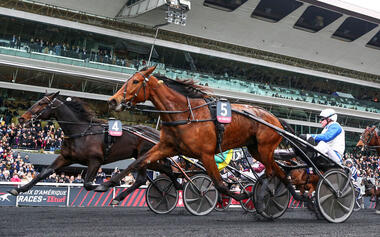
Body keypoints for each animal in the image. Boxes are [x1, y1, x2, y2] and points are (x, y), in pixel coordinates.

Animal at [10, 91, 180, 201]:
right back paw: (172, 188)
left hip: (144, 156)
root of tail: (156, 133)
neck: (81, 132)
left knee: (144, 178)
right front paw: (18, 189)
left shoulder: (95, 161)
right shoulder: (65, 157)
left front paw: (107, 185)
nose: (22, 119)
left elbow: (88, 184)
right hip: (147, 158)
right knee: (164, 170)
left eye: (42, 103)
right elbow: (44, 172)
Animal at [95, 65, 290, 206]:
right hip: (257, 149)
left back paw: (268, 196)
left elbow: (219, 184)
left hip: (265, 148)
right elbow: (137, 162)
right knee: (280, 173)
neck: (185, 115)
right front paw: (107, 186)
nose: (112, 101)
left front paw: (243, 196)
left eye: (135, 81)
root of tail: (276, 119)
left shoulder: (206, 154)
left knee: (271, 173)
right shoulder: (166, 147)